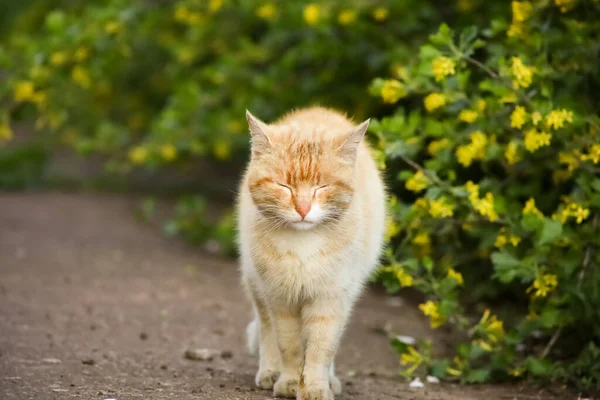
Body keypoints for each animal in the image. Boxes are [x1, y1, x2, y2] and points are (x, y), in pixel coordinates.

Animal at [237, 106, 386, 400]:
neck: (302, 245)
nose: (303, 209)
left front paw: (316, 386)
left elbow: (320, 348)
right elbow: (289, 345)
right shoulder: (281, 299)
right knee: (266, 329)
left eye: (322, 187)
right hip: (256, 284)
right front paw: (290, 382)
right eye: (284, 186)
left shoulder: (330, 299)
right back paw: (269, 371)